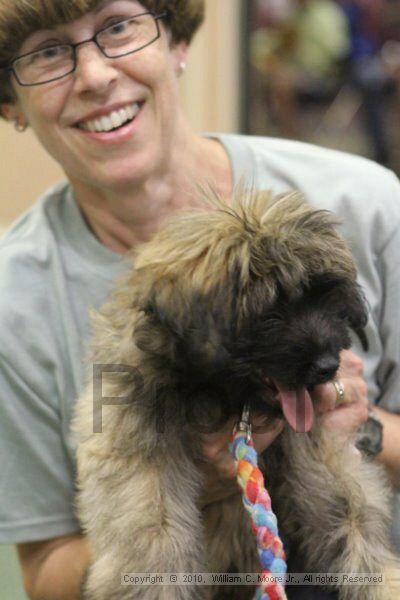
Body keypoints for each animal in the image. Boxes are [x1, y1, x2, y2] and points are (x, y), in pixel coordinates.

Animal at [73, 191, 398, 600]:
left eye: (325, 300)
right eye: (271, 312)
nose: (327, 366)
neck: (223, 396)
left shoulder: (314, 444)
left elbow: (346, 507)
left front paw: (383, 581)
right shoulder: (138, 442)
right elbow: (152, 534)